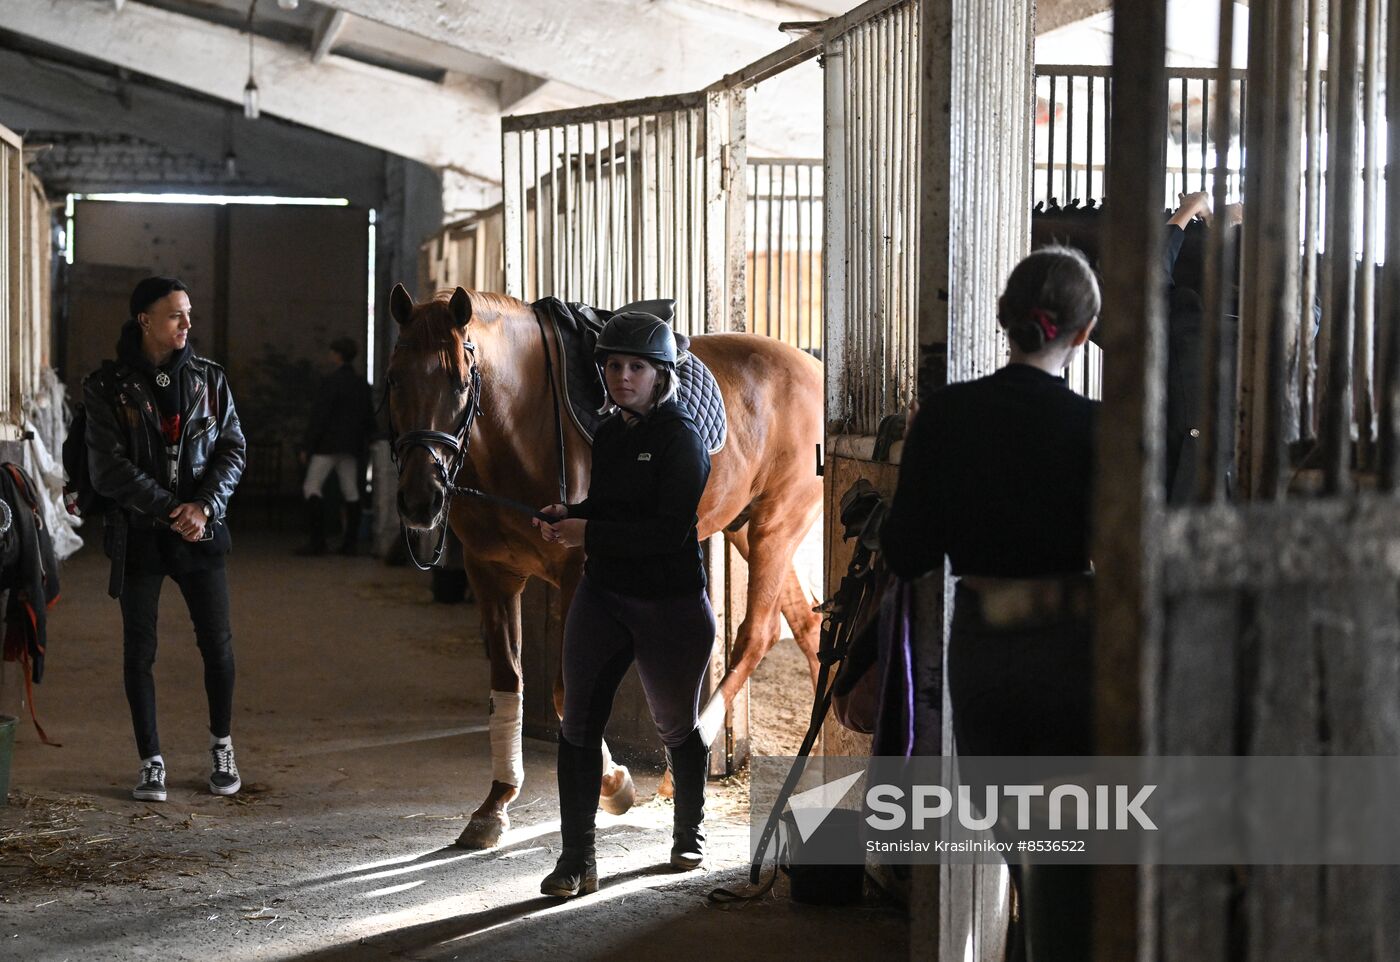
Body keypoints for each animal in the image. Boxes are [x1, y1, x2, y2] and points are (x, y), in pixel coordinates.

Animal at [386, 285, 817, 851]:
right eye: (394, 378)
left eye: (461, 383)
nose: (421, 501)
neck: (522, 421)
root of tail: (813, 368)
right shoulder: (492, 575)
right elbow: (508, 684)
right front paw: (494, 806)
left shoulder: (577, 573)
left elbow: (568, 691)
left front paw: (613, 786)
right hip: (749, 529)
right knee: (806, 626)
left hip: (775, 527)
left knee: (757, 635)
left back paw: (683, 765)